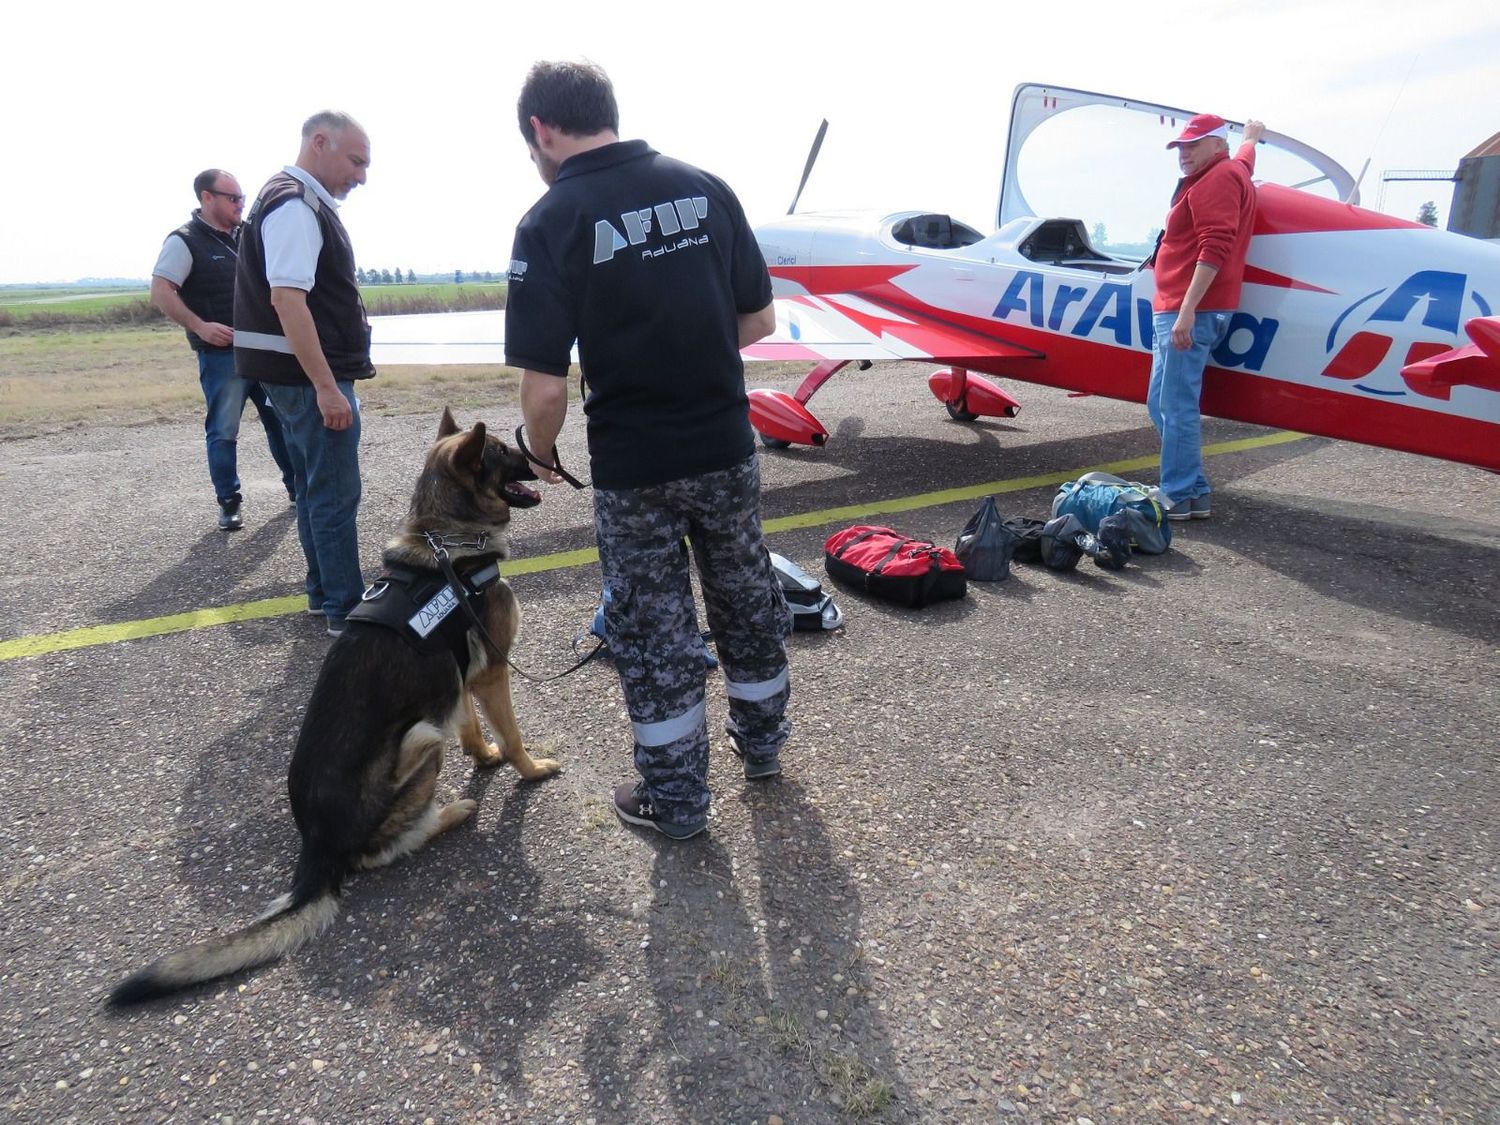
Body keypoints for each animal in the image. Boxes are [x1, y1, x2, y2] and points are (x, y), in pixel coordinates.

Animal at [108, 411, 561, 1008]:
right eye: (505, 452)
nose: (541, 456)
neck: (446, 540)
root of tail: (316, 844)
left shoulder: (457, 676)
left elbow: (470, 725)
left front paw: (483, 757)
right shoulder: (492, 673)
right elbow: (512, 736)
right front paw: (528, 770)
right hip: (421, 740)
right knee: (380, 852)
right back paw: (451, 814)